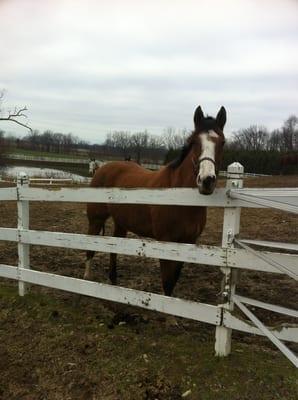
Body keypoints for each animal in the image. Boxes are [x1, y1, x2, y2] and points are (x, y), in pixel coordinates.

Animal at [85, 104, 227, 296]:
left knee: (114, 249)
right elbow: (167, 283)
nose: (206, 181)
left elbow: (174, 280)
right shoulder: (166, 242)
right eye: (194, 142)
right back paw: (86, 279)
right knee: (90, 249)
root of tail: (102, 168)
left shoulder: (187, 242)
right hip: (96, 219)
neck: (180, 200)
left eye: (222, 142)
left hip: (121, 223)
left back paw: (114, 282)